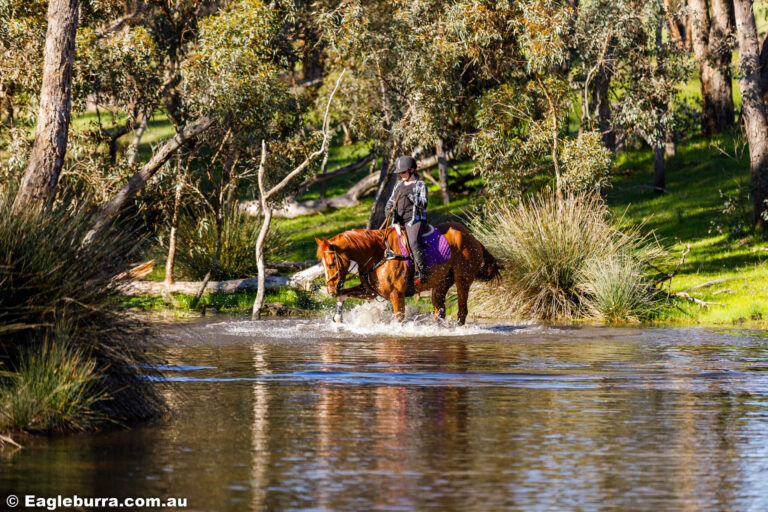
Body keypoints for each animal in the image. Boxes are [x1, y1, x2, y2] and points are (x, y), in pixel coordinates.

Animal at [316, 221, 500, 326]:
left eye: (331, 264)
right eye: (322, 265)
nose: (331, 291)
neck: (379, 254)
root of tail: (473, 239)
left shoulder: (397, 295)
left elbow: (399, 319)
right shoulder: (370, 291)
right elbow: (344, 294)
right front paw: (338, 318)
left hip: (463, 279)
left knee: (462, 311)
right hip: (441, 284)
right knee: (439, 311)